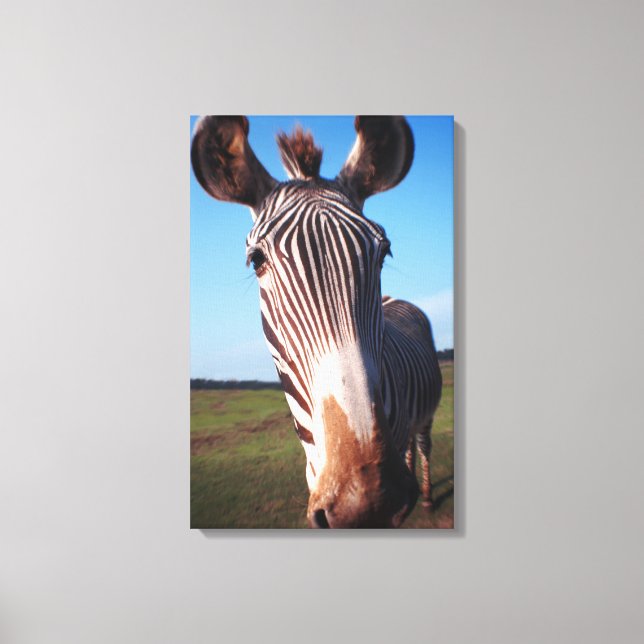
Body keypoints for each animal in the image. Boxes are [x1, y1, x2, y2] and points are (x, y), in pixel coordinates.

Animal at [191, 116, 442, 528]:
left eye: (384, 253)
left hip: (428, 412)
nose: (368, 503)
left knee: (423, 443)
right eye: (256, 260)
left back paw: (426, 497)